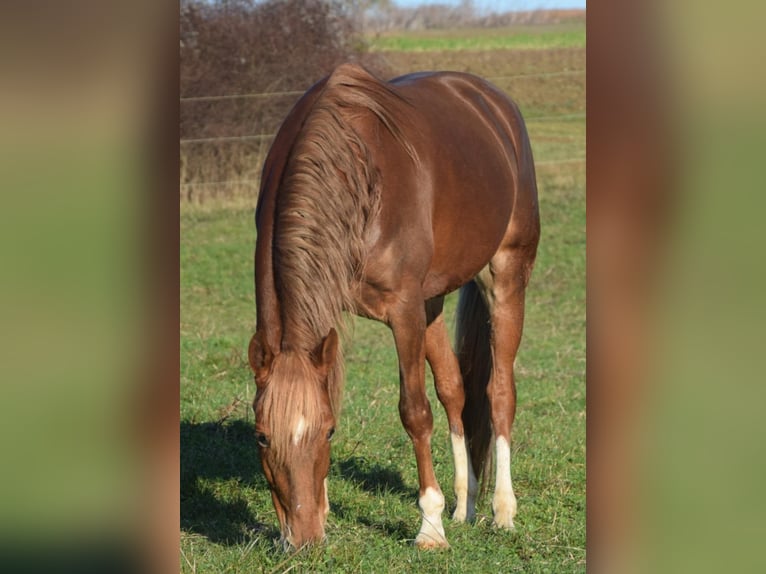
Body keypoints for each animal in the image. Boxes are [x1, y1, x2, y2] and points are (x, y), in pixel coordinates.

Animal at [248, 62, 540, 548]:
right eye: (261, 438)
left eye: (328, 431)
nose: (304, 540)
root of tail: (492, 100)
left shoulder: (403, 311)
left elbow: (414, 412)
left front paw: (430, 526)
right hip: (432, 301)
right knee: (455, 390)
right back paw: (466, 505)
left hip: (506, 275)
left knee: (499, 392)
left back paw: (502, 511)